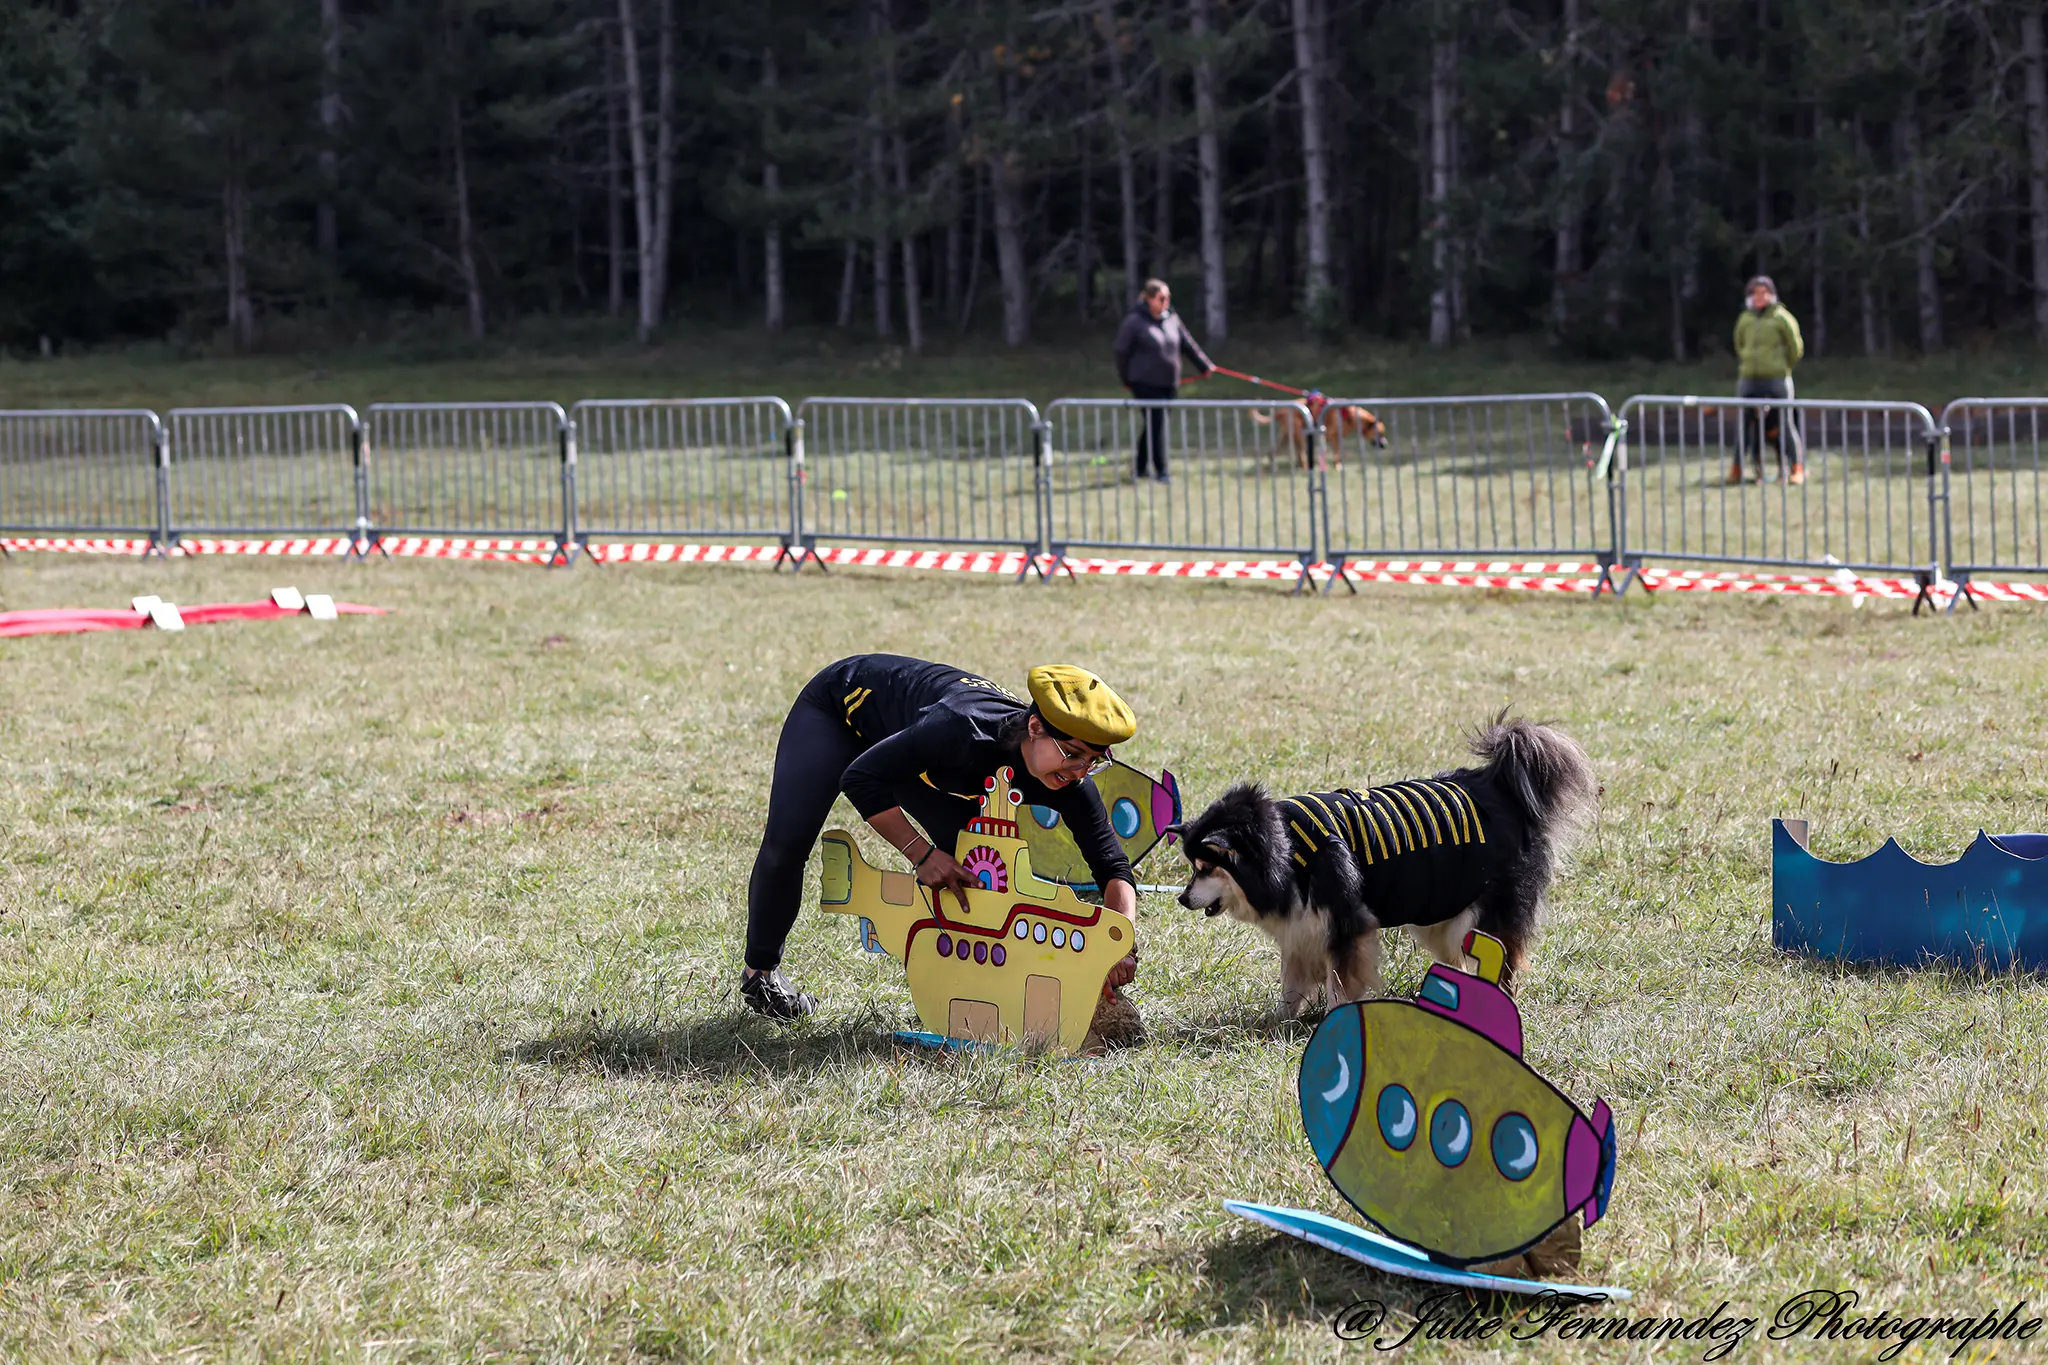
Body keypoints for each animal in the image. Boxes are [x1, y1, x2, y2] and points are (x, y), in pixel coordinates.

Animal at [1179, 716, 1589, 1015]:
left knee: (1500, 959)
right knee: (1455, 959)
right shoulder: (1303, 927)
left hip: (1481, 913)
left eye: (1206, 867)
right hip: (1438, 911)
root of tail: (1499, 785)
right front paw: (1280, 1020)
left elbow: (1339, 984)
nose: (1182, 899)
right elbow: (1292, 984)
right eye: (1194, 868)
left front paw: (1332, 1020)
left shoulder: (1346, 926)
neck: (1289, 847)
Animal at [1245, 401, 1392, 470]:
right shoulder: (1332, 436)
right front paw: (1338, 466)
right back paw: (1305, 469)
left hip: (1285, 437)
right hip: (1300, 437)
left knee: (1272, 452)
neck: (1351, 415)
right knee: (1301, 455)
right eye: (1380, 433)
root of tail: (1282, 410)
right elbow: (1337, 453)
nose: (1386, 445)